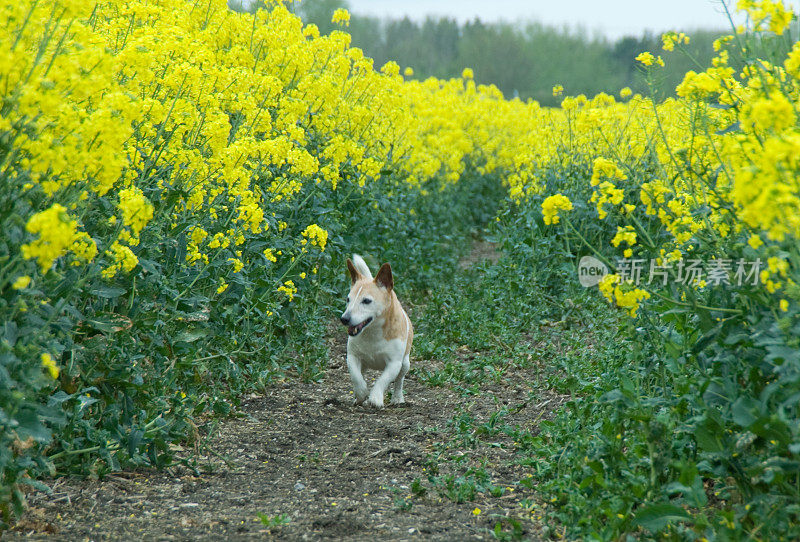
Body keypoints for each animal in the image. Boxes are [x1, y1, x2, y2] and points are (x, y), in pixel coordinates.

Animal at [340, 255, 412, 408]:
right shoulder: (353, 357)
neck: (372, 332)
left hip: (405, 364)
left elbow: (383, 380)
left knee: (399, 381)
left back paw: (398, 398)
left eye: (366, 301)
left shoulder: (394, 363)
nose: (344, 318)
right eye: (348, 299)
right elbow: (356, 377)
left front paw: (375, 398)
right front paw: (361, 394)